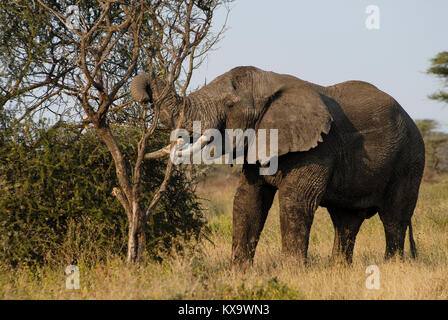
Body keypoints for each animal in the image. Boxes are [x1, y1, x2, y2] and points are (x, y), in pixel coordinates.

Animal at [131, 65, 426, 264]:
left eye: (229, 104)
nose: (145, 96)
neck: (272, 81)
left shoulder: (318, 147)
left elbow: (295, 201)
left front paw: (294, 274)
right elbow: (247, 200)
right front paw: (238, 274)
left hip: (410, 161)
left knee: (394, 219)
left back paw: (392, 267)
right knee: (346, 222)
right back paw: (339, 269)